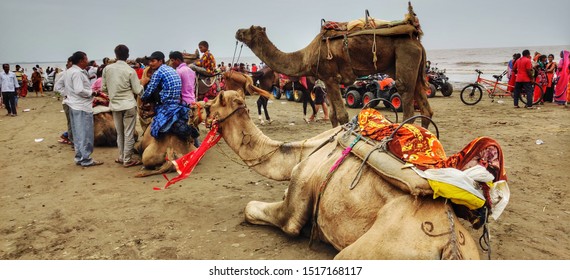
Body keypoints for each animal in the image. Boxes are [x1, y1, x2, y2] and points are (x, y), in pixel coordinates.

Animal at [203, 91, 492, 260]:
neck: (303, 151)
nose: (197, 107)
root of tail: (450, 243)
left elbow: (253, 209)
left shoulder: (296, 199)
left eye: (213, 102)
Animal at [235, 2, 430, 128]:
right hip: (404, 64)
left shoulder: (330, 76)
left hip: (405, 54)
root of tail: (415, 36)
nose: (237, 31)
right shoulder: (327, 80)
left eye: (249, 29)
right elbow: (334, 115)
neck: (306, 56)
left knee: (406, 96)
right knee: (425, 108)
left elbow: (342, 115)